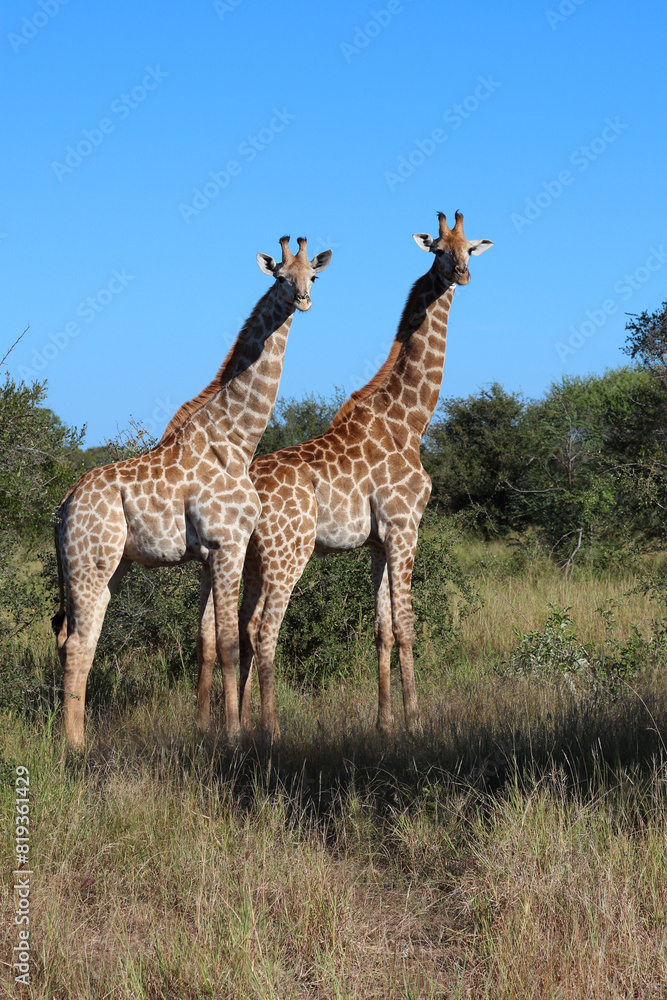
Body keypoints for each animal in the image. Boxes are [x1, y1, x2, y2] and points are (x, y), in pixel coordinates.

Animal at [53, 236, 332, 749]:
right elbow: (228, 643)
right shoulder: (229, 545)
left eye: (314, 276)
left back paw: (77, 738)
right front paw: (235, 735)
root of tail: (61, 509)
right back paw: (74, 746)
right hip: (91, 562)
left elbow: (204, 641)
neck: (236, 440)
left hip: (109, 566)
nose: (303, 300)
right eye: (281, 276)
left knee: (79, 639)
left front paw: (206, 728)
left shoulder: (208, 554)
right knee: (79, 641)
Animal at [195, 211, 492, 739]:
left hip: (246, 559)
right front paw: (416, 722)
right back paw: (271, 731)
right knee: (264, 630)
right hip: (287, 554)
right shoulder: (404, 527)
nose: (462, 273)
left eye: (468, 248)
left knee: (237, 629)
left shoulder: (378, 540)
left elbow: (382, 628)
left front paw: (384, 723)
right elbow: (408, 624)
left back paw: (242, 725)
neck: (410, 423)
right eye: (438, 250)